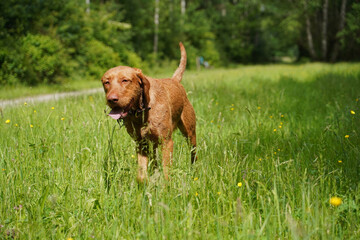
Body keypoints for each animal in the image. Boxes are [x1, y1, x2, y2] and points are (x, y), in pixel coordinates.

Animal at [101, 42, 197, 182]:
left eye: (125, 80)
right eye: (106, 82)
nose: (111, 99)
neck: (141, 112)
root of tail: (174, 80)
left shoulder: (166, 142)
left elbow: (166, 173)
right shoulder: (141, 144)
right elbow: (141, 175)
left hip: (190, 133)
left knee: (194, 154)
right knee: (154, 162)